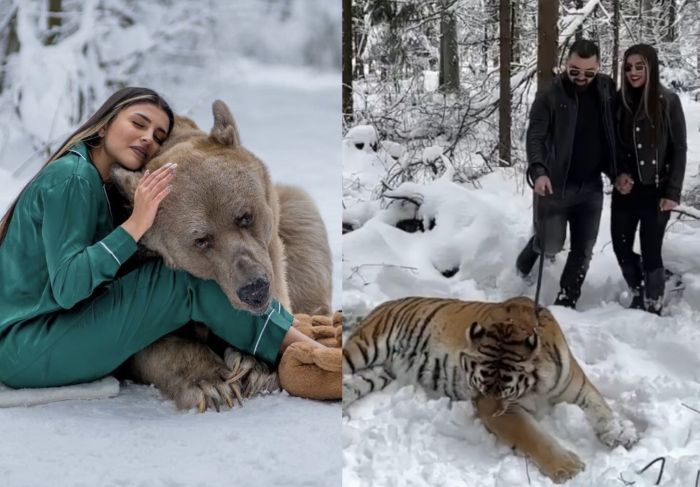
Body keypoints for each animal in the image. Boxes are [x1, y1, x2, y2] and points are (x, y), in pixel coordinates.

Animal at [344, 296, 640, 486]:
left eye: (506, 390)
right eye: (478, 385)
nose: (489, 415)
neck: (539, 385)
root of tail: (381, 306)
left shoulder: (576, 385)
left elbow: (600, 407)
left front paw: (620, 433)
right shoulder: (502, 410)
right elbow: (533, 436)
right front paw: (568, 468)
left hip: (378, 374)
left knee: (350, 386)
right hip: (363, 350)